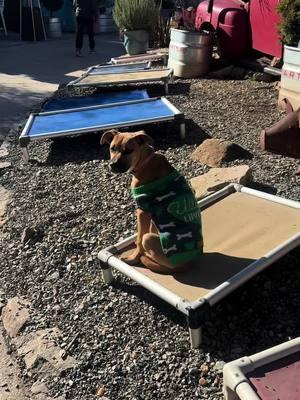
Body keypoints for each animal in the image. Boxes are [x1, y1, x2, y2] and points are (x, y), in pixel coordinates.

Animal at [101, 130, 204, 274]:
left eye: (129, 151)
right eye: (112, 148)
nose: (113, 165)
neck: (145, 161)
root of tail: (189, 265)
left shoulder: (142, 210)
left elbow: (140, 237)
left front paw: (134, 258)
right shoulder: (150, 214)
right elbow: (147, 228)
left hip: (150, 240)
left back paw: (145, 257)